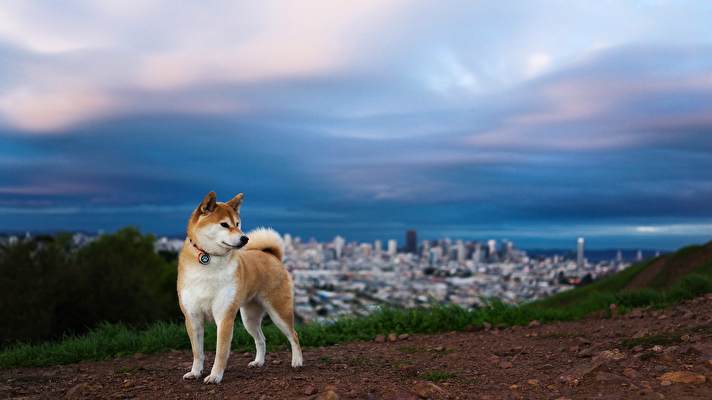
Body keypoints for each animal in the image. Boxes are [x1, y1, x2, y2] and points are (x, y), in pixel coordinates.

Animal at [179, 192, 302, 382]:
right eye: (224, 224)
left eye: (237, 224)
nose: (245, 238)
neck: (209, 260)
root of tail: (272, 256)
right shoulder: (192, 317)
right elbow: (197, 352)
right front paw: (195, 372)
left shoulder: (224, 317)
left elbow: (220, 352)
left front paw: (215, 376)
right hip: (249, 319)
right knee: (261, 339)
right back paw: (258, 362)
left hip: (279, 312)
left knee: (293, 335)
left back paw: (297, 361)